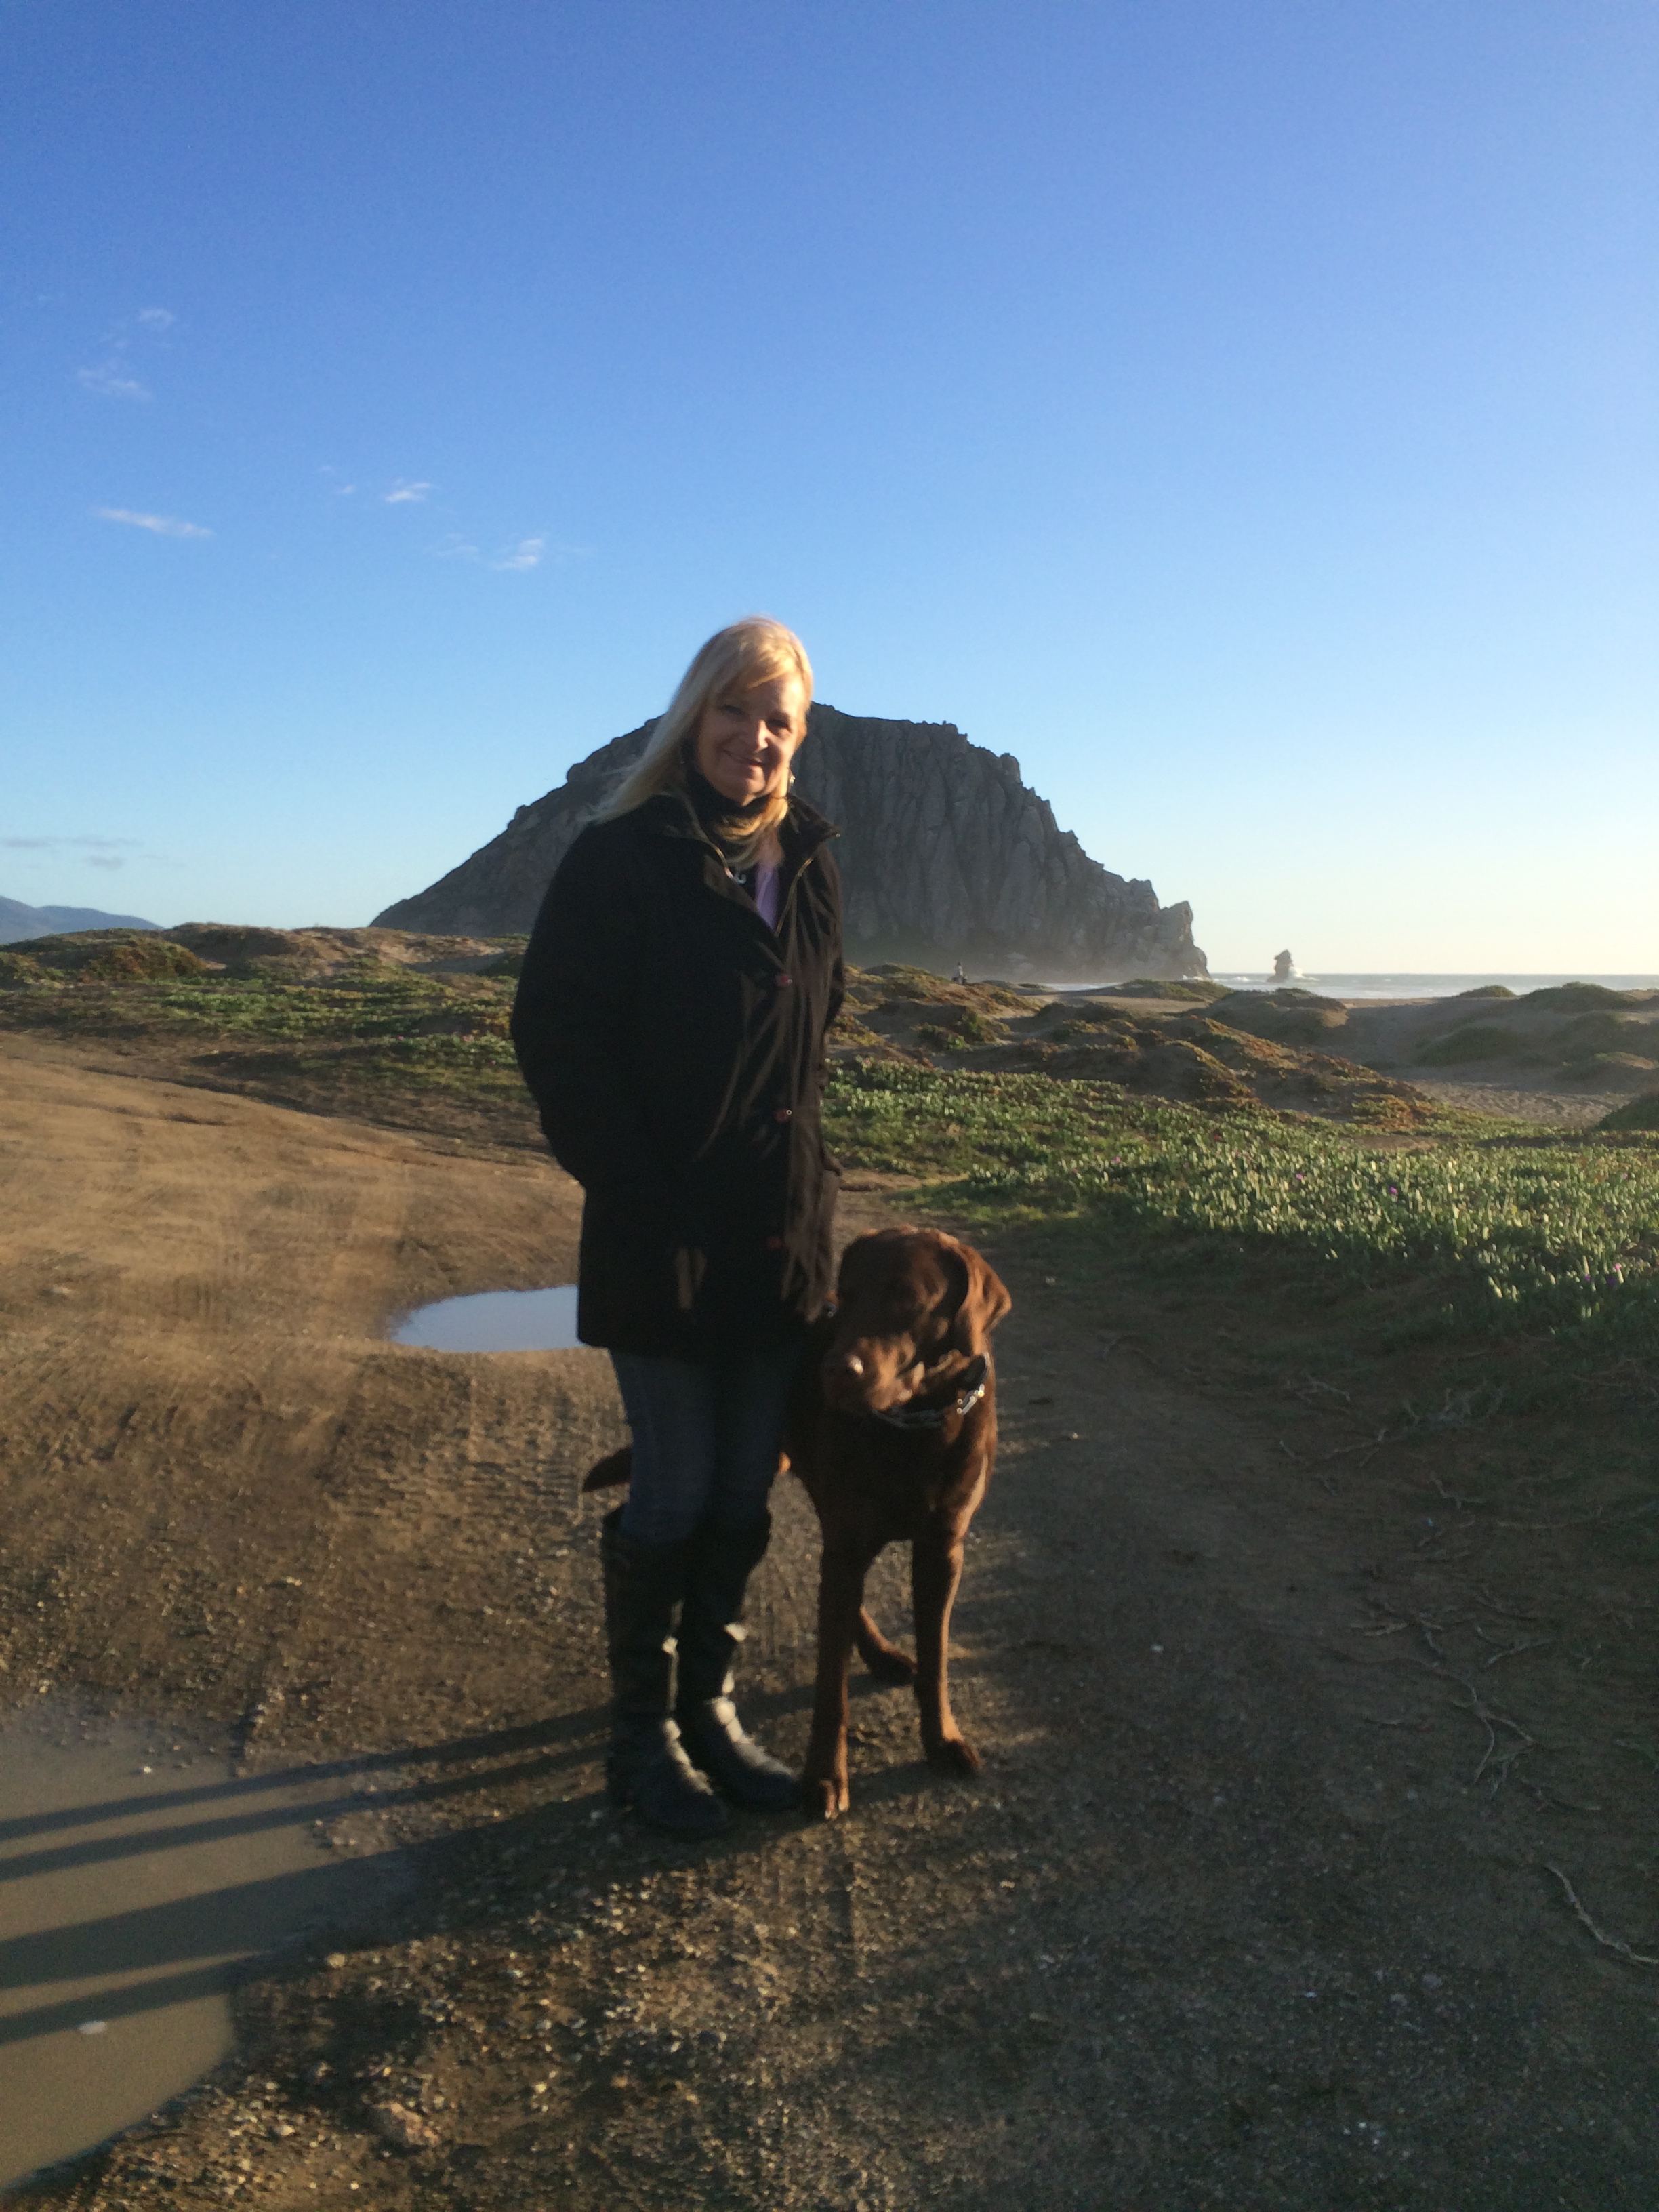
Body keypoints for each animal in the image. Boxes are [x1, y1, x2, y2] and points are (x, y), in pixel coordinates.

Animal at [581, 1225, 1012, 1822]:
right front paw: (824, 1778)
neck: (916, 1424)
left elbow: (937, 1658)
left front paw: (942, 1740)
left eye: (906, 1299)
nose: (837, 1370)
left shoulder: (943, 1548)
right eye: (846, 1297)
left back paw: (880, 1655)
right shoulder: (852, 1539)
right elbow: (831, 1685)